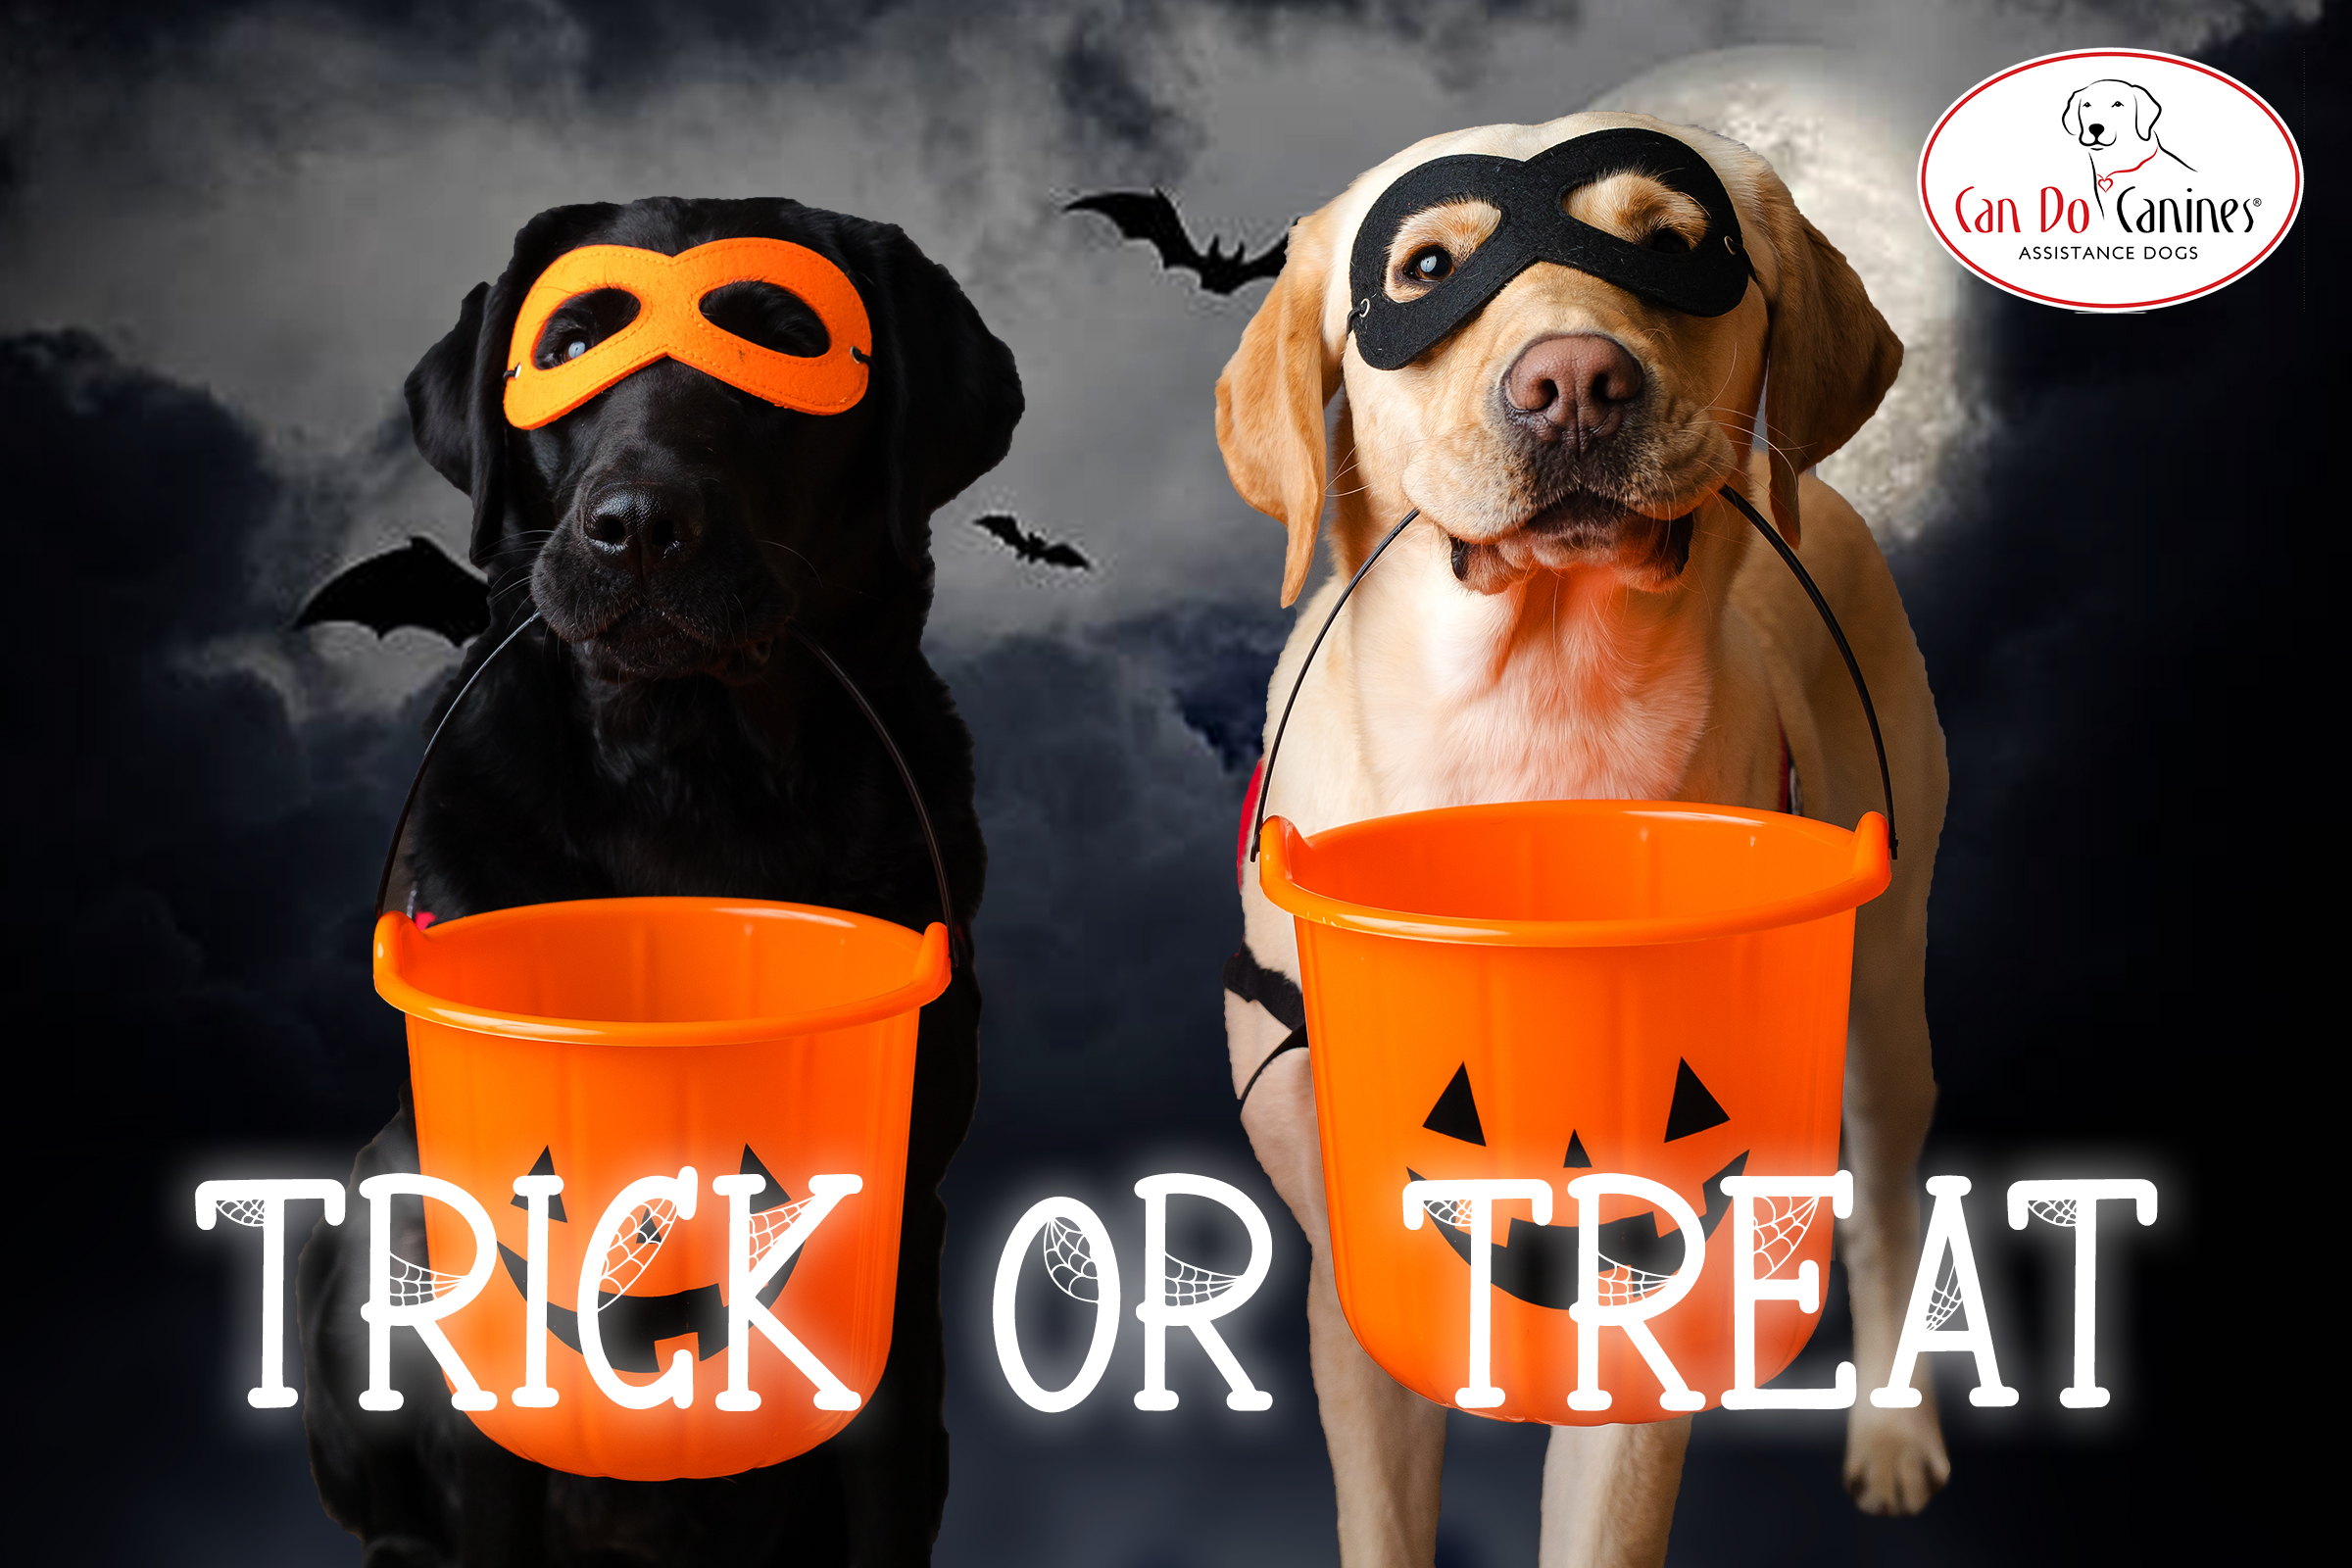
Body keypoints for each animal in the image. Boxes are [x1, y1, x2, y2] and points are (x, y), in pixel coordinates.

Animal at [296, 199, 1020, 1568]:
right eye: (571, 342)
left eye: (788, 341)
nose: (636, 524)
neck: (691, 770)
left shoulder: (896, 1252)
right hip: (364, 1217)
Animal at [1213, 113, 1947, 1568]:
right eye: (1426, 266)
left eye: (1674, 244)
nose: (1573, 384)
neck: (1535, 709)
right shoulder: (1353, 1297)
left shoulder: (1648, 1280)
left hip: (1886, 1002)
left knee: (1890, 1206)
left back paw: (1894, 1431)